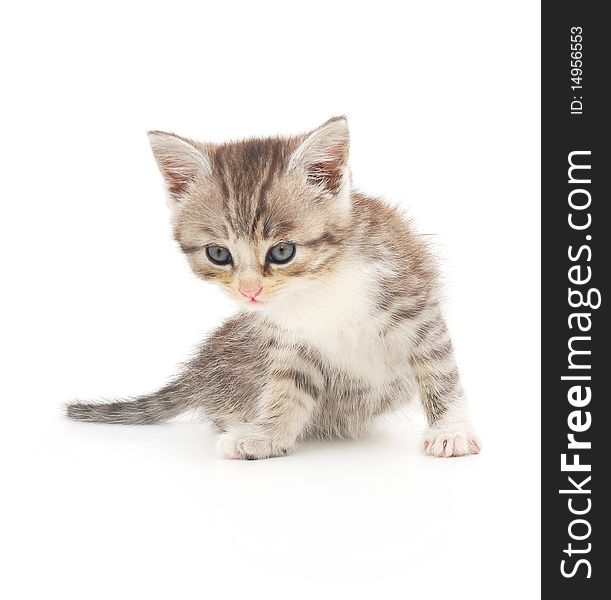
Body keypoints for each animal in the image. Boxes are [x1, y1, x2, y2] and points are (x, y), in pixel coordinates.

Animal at [68, 116, 482, 460]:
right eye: (218, 253)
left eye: (282, 252)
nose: (250, 292)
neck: (320, 285)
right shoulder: (290, 342)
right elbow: (286, 388)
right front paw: (267, 436)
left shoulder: (416, 305)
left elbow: (440, 373)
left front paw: (450, 431)